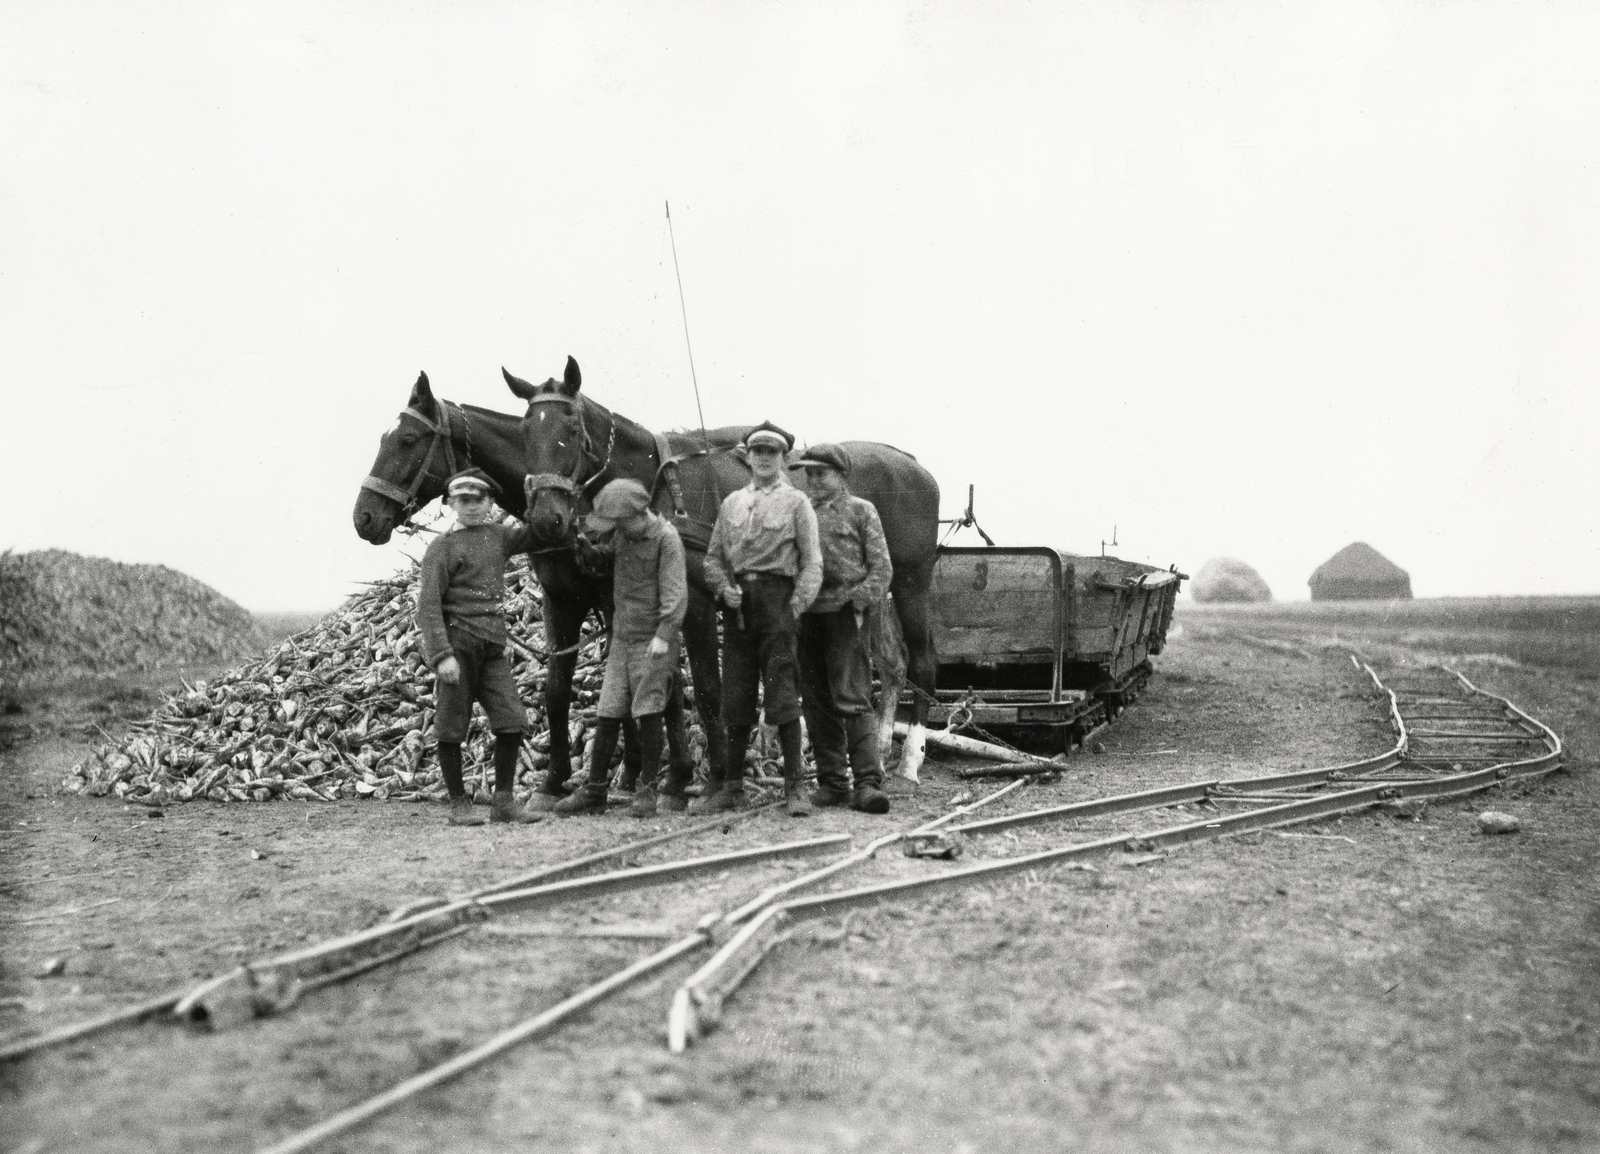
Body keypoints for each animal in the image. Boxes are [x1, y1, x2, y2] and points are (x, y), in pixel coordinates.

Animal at [353, 372, 710, 787]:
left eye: (408, 440)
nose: (363, 518)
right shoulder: (559, 599)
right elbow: (556, 690)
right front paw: (556, 778)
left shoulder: (615, 602)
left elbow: (625, 678)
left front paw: (630, 771)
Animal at [505, 350, 940, 784]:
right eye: (524, 431)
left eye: (571, 427)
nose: (546, 519)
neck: (659, 489)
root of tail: (915, 466)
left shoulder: (696, 602)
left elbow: (708, 692)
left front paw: (714, 771)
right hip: (872, 590)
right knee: (892, 663)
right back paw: (880, 747)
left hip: (911, 583)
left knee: (922, 661)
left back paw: (911, 758)